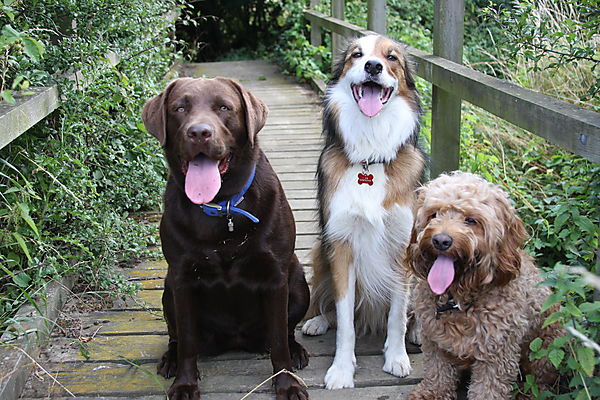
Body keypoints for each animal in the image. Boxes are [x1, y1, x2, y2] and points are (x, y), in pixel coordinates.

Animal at [406, 172, 560, 400]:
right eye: (434, 215)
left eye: (471, 220)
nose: (441, 240)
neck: (458, 301)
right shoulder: (436, 344)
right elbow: (437, 372)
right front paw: (431, 393)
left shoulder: (497, 355)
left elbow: (488, 388)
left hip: (545, 349)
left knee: (539, 380)